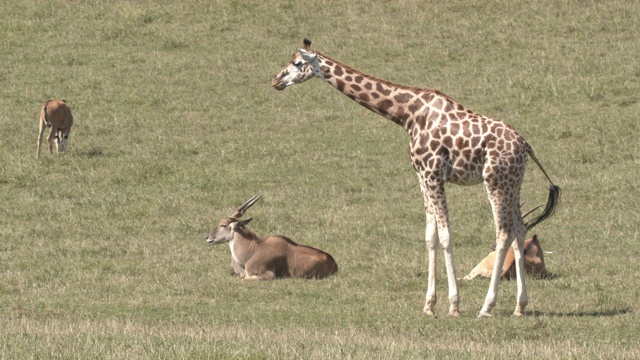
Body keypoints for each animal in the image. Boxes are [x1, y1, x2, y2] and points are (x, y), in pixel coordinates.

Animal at [272, 38, 560, 316]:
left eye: (297, 63)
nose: (275, 80)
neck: (408, 114)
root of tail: (525, 146)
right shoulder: (422, 176)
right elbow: (430, 237)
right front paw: (429, 305)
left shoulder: (433, 173)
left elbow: (445, 236)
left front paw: (453, 306)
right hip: (513, 183)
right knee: (520, 230)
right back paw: (520, 306)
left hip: (495, 182)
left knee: (503, 233)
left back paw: (486, 307)